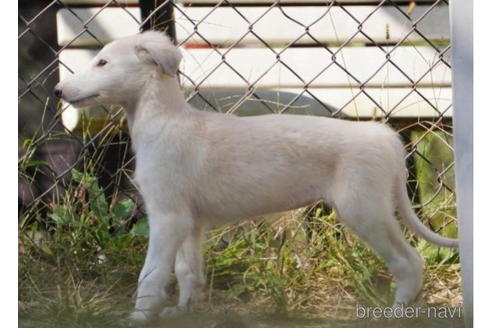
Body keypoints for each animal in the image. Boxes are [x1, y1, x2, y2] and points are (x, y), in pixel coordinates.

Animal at [55, 31, 460, 326]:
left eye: (102, 62)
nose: (58, 91)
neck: (166, 122)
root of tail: (387, 138)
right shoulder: (189, 221)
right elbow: (187, 271)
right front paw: (184, 312)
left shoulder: (166, 216)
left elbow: (151, 274)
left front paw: (138, 317)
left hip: (365, 210)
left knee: (409, 262)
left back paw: (395, 315)